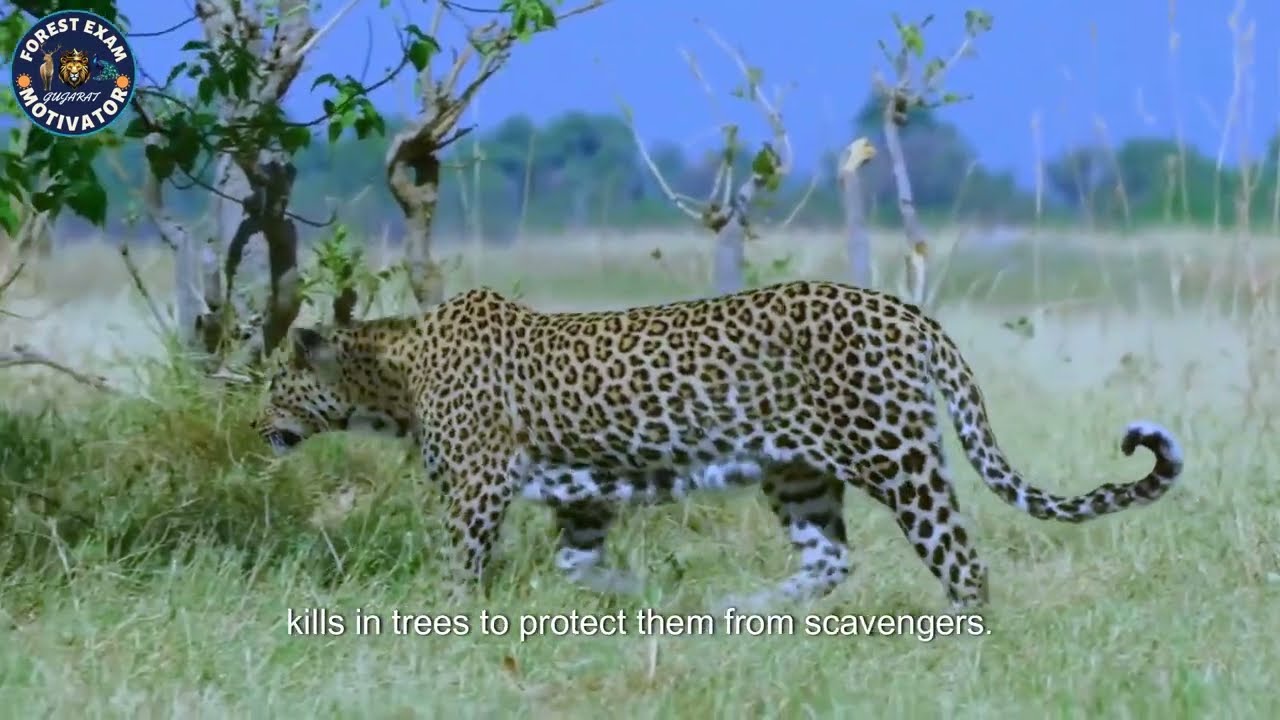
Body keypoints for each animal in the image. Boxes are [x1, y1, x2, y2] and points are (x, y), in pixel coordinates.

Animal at [252, 280, 1184, 611]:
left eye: (273, 386)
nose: (259, 426)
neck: (390, 379)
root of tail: (908, 312)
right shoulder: (583, 491)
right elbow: (578, 564)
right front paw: (633, 599)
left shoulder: (480, 486)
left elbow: (459, 565)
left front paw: (448, 623)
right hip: (797, 473)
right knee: (828, 559)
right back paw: (744, 610)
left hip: (899, 460)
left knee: (961, 559)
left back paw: (963, 641)